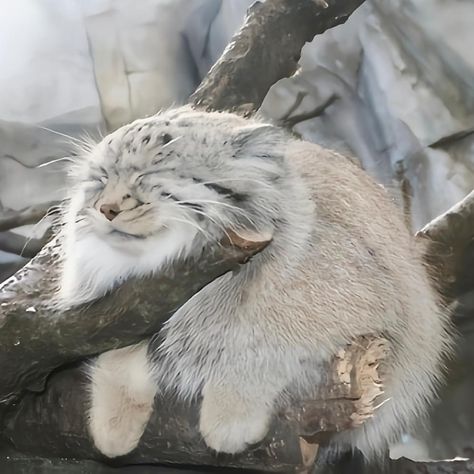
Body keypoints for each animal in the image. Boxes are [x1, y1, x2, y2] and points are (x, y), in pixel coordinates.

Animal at [57, 106, 450, 460]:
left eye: (151, 172)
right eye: (100, 179)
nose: (106, 209)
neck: (167, 278)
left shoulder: (366, 307)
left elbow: (264, 337)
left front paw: (230, 415)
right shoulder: (117, 316)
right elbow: (118, 358)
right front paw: (113, 423)